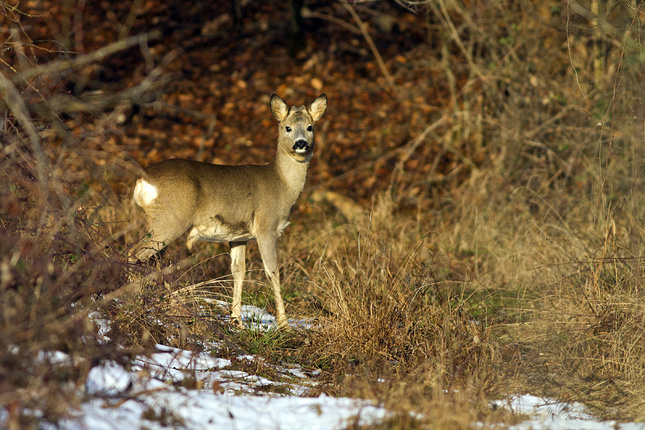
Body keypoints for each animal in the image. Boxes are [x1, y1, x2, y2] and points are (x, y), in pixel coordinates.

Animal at [131, 95, 328, 326]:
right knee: (135, 253)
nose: (301, 143)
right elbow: (272, 272)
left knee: (154, 260)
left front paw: (236, 319)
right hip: (169, 220)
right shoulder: (266, 227)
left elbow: (238, 271)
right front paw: (284, 324)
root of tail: (142, 181)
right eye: (287, 127)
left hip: (159, 222)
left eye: (310, 127)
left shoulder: (238, 236)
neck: (282, 184)